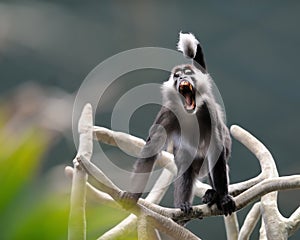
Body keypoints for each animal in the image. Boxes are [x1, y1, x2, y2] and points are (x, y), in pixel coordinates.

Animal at [120, 31, 236, 217]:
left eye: (188, 72)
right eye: (176, 76)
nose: (182, 77)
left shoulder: (208, 111)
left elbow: (216, 149)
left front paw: (223, 198)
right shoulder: (168, 113)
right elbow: (152, 146)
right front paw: (132, 195)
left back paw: (214, 195)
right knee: (186, 167)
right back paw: (184, 204)